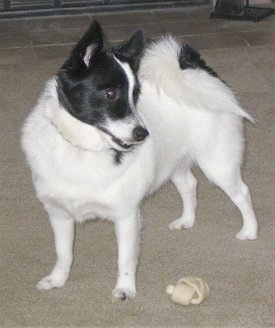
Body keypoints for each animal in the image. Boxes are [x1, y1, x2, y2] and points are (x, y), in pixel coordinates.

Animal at [21, 21, 258, 302]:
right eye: (110, 93)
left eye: (136, 96)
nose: (143, 134)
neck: (84, 149)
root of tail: (199, 74)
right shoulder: (59, 214)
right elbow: (63, 253)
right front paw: (57, 280)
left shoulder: (126, 215)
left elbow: (125, 258)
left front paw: (125, 288)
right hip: (174, 162)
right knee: (190, 185)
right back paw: (187, 220)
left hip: (218, 164)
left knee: (242, 193)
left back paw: (250, 231)